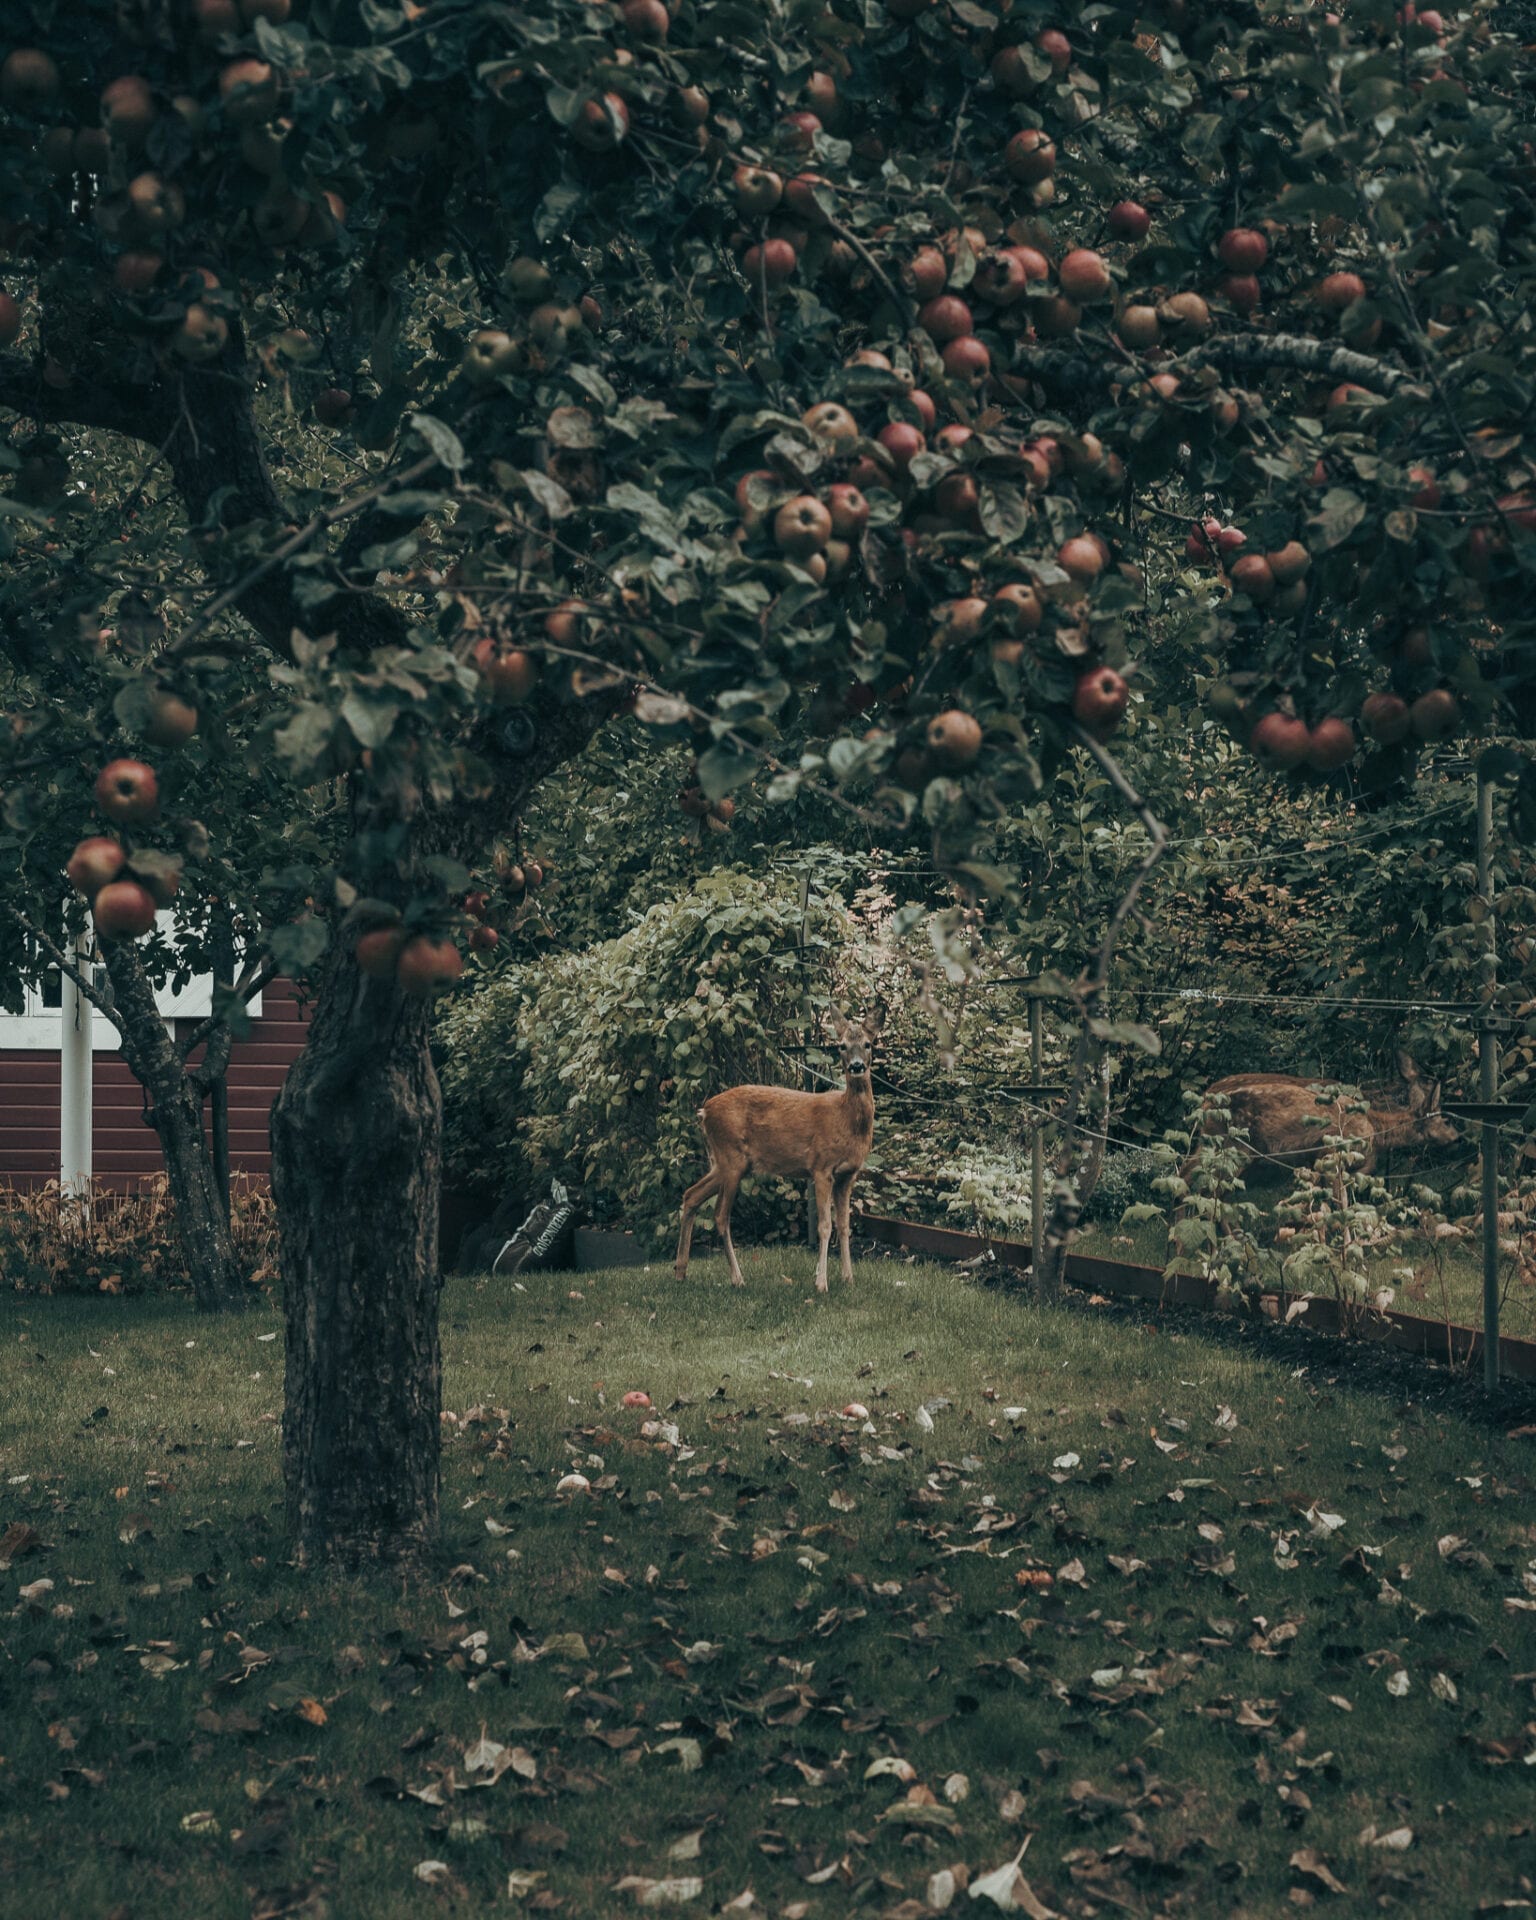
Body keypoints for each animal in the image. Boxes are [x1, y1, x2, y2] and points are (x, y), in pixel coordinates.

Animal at [675, 1006, 887, 1290]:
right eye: (841, 1046)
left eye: (868, 1044)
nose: (856, 1066)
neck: (846, 1119)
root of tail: (704, 1111)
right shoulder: (821, 1168)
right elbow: (824, 1226)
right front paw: (821, 1283)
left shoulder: (847, 1175)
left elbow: (844, 1225)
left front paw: (848, 1278)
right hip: (731, 1157)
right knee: (720, 1216)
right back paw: (737, 1278)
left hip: (726, 1162)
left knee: (691, 1195)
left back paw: (680, 1271)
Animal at [1190, 1052, 1459, 1182]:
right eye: (1446, 1119)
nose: (1458, 1138)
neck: (1376, 1124)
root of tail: (1205, 1098)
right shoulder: (1333, 1154)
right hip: (1233, 1148)